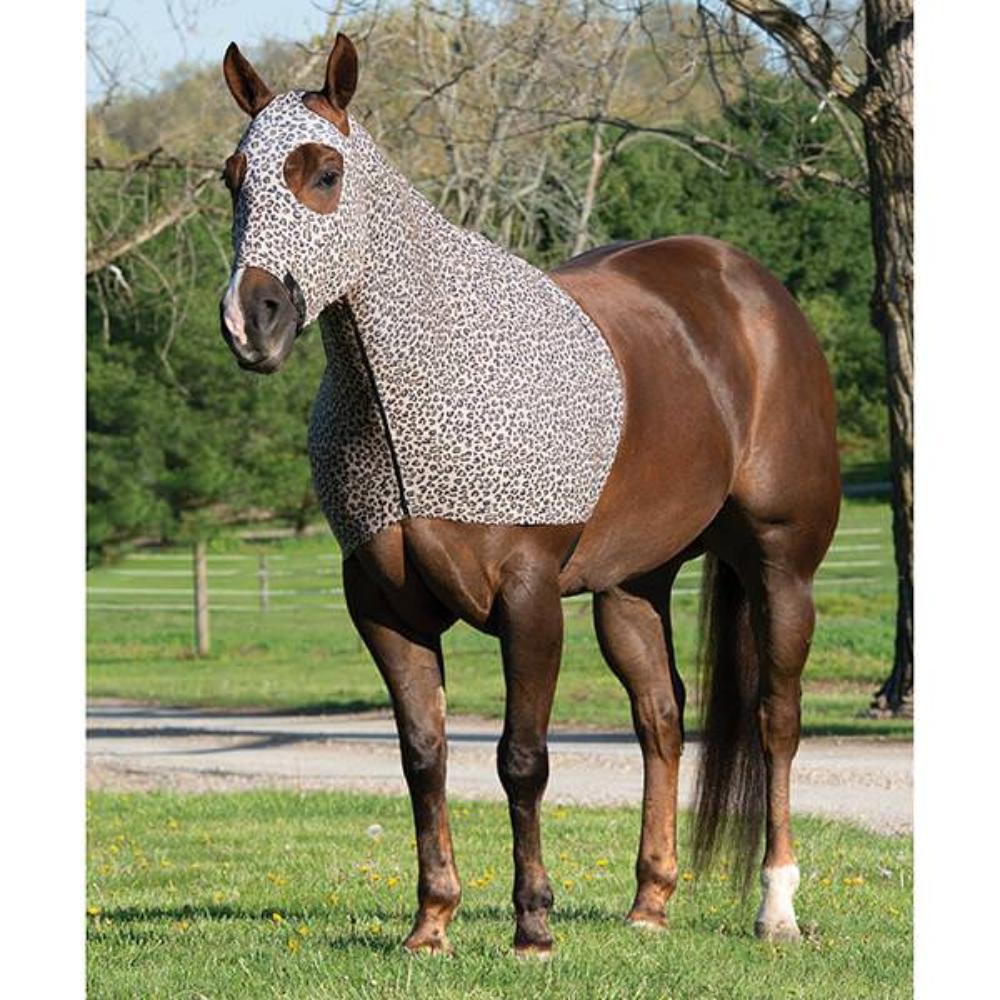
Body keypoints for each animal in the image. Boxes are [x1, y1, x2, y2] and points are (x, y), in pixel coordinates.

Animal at [218, 34, 840, 958]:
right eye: (233, 177)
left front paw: (533, 925)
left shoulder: (529, 597)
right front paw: (432, 922)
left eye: (324, 173)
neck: (414, 386)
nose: (249, 320)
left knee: (776, 718)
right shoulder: (380, 604)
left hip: (780, 567)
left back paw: (778, 908)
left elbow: (522, 758)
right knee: (661, 717)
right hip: (631, 589)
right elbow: (424, 756)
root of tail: (751, 289)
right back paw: (650, 903)